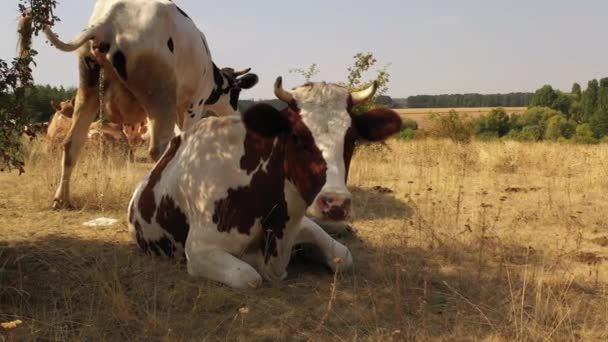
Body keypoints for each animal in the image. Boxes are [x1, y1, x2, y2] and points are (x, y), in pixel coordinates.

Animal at [16, 0, 258, 208]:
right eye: (236, 92)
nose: (235, 113)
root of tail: (107, 21)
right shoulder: (193, 105)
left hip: (88, 90)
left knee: (71, 143)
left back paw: (62, 199)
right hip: (160, 97)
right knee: (158, 150)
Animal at [127, 78, 404, 288]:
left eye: (352, 139)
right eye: (297, 136)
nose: (335, 203)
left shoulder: (300, 223)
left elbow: (343, 256)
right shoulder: (199, 250)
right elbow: (250, 277)